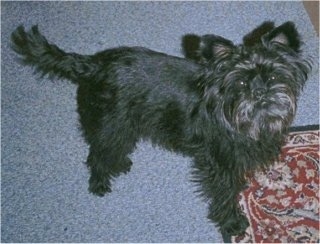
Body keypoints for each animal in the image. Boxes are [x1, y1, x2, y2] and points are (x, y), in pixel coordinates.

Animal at [11, 21, 312, 235]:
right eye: (239, 83)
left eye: (273, 76)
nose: (260, 93)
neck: (245, 121)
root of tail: (94, 65)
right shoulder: (218, 165)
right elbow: (225, 195)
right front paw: (232, 224)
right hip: (114, 127)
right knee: (97, 154)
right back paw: (99, 183)